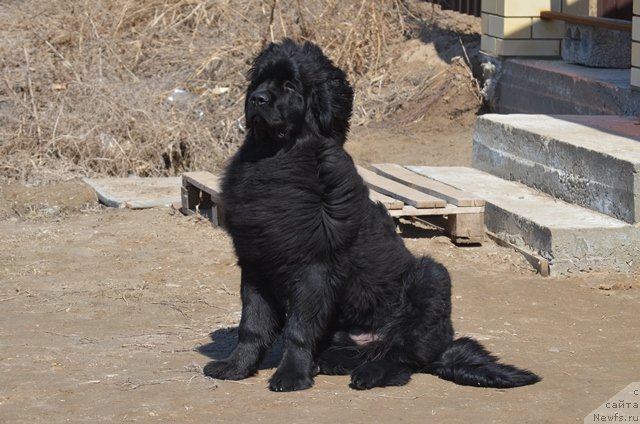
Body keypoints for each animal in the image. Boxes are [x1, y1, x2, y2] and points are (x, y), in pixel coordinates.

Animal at [204, 39, 540, 390]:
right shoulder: (256, 264)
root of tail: (443, 348)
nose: (256, 99)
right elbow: (252, 326)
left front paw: (291, 375)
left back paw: (370, 373)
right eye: (260, 82)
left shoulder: (314, 268)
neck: (275, 160)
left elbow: (298, 329)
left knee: (402, 355)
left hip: (431, 276)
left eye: (289, 86)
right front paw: (235, 367)